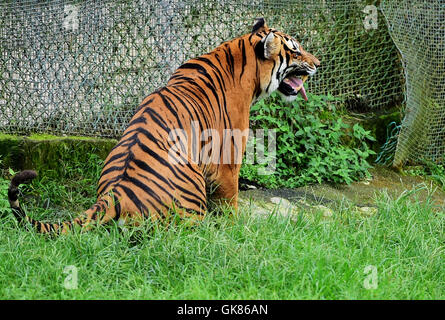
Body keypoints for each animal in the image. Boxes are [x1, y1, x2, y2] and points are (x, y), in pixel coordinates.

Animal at [6, 17, 320, 234]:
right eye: (295, 51)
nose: (318, 62)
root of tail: (116, 193)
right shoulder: (227, 160)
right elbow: (230, 202)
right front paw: (234, 228)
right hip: (192, 192)